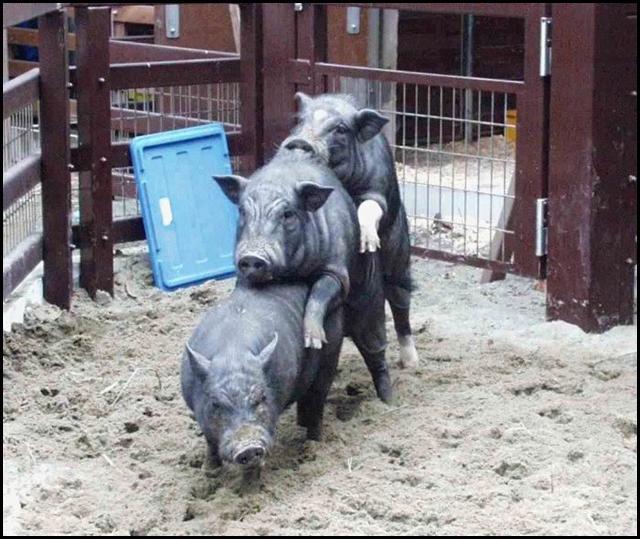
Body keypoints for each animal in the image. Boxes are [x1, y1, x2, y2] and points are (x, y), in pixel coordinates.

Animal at [181, 283, 343, 471]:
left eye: (262, 397)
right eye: (215, 404)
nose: (249, 447)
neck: (233, 355)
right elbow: (210, 442)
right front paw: (209, 471)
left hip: (331, 349)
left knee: (317, 400)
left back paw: (314, 445)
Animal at [213, 150, 392, 402]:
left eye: (287, 214)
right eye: (242, 211)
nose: (252, 256)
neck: (294, 270)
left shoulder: (337, 271)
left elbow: (321, 291)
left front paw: (314, 341)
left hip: (371, 299)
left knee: (375, 351)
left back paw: (387, 400)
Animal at [281, 93, 419, 370]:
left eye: (340, 129)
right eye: (300, 120)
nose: (300, 142)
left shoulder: (377, 188)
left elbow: (370, 206)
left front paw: (367, 244)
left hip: (399, 256)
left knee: (401, 303)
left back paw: (411, 363)